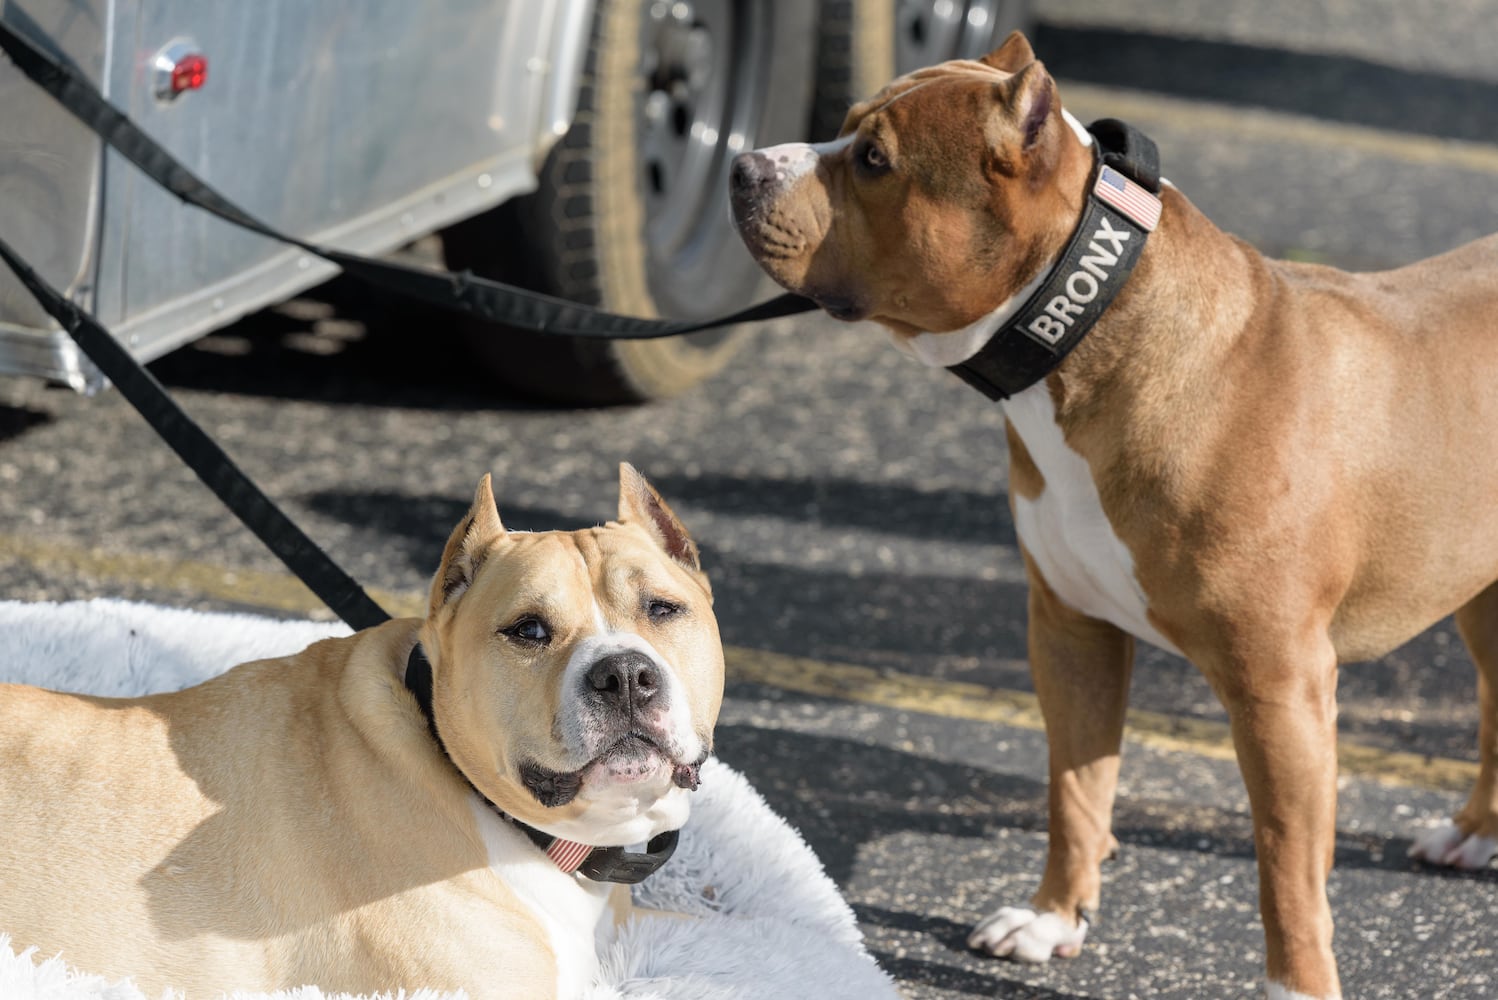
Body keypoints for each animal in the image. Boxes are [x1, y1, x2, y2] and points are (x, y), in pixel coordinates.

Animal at [728, 31, 1498, 999]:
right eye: (842, 129)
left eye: (873, 160)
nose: (742, 168)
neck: (1082, 332)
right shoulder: (1070, 632)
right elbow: (1076, 790)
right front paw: (1056, 917)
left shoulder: (1278, 689)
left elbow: (1286, 867)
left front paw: (1296, 983)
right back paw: (1476, 832)